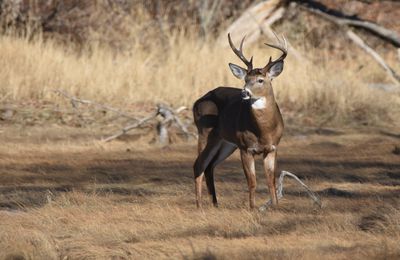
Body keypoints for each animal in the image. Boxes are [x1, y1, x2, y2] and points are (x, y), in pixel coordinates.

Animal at [193, 33, 288, 209]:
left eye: (260, 80)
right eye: (245, 79)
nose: (245, 92)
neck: (264, 131)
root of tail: (196, 102)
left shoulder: (272, 148)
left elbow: (271, 181)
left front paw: (275, 207)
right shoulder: (245, 147)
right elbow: (252, 181)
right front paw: (252, 208)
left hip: (226, 142)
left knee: (210, 166)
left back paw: (215, 204)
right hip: (204, 132)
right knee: (199, 164)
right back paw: (199, 206)